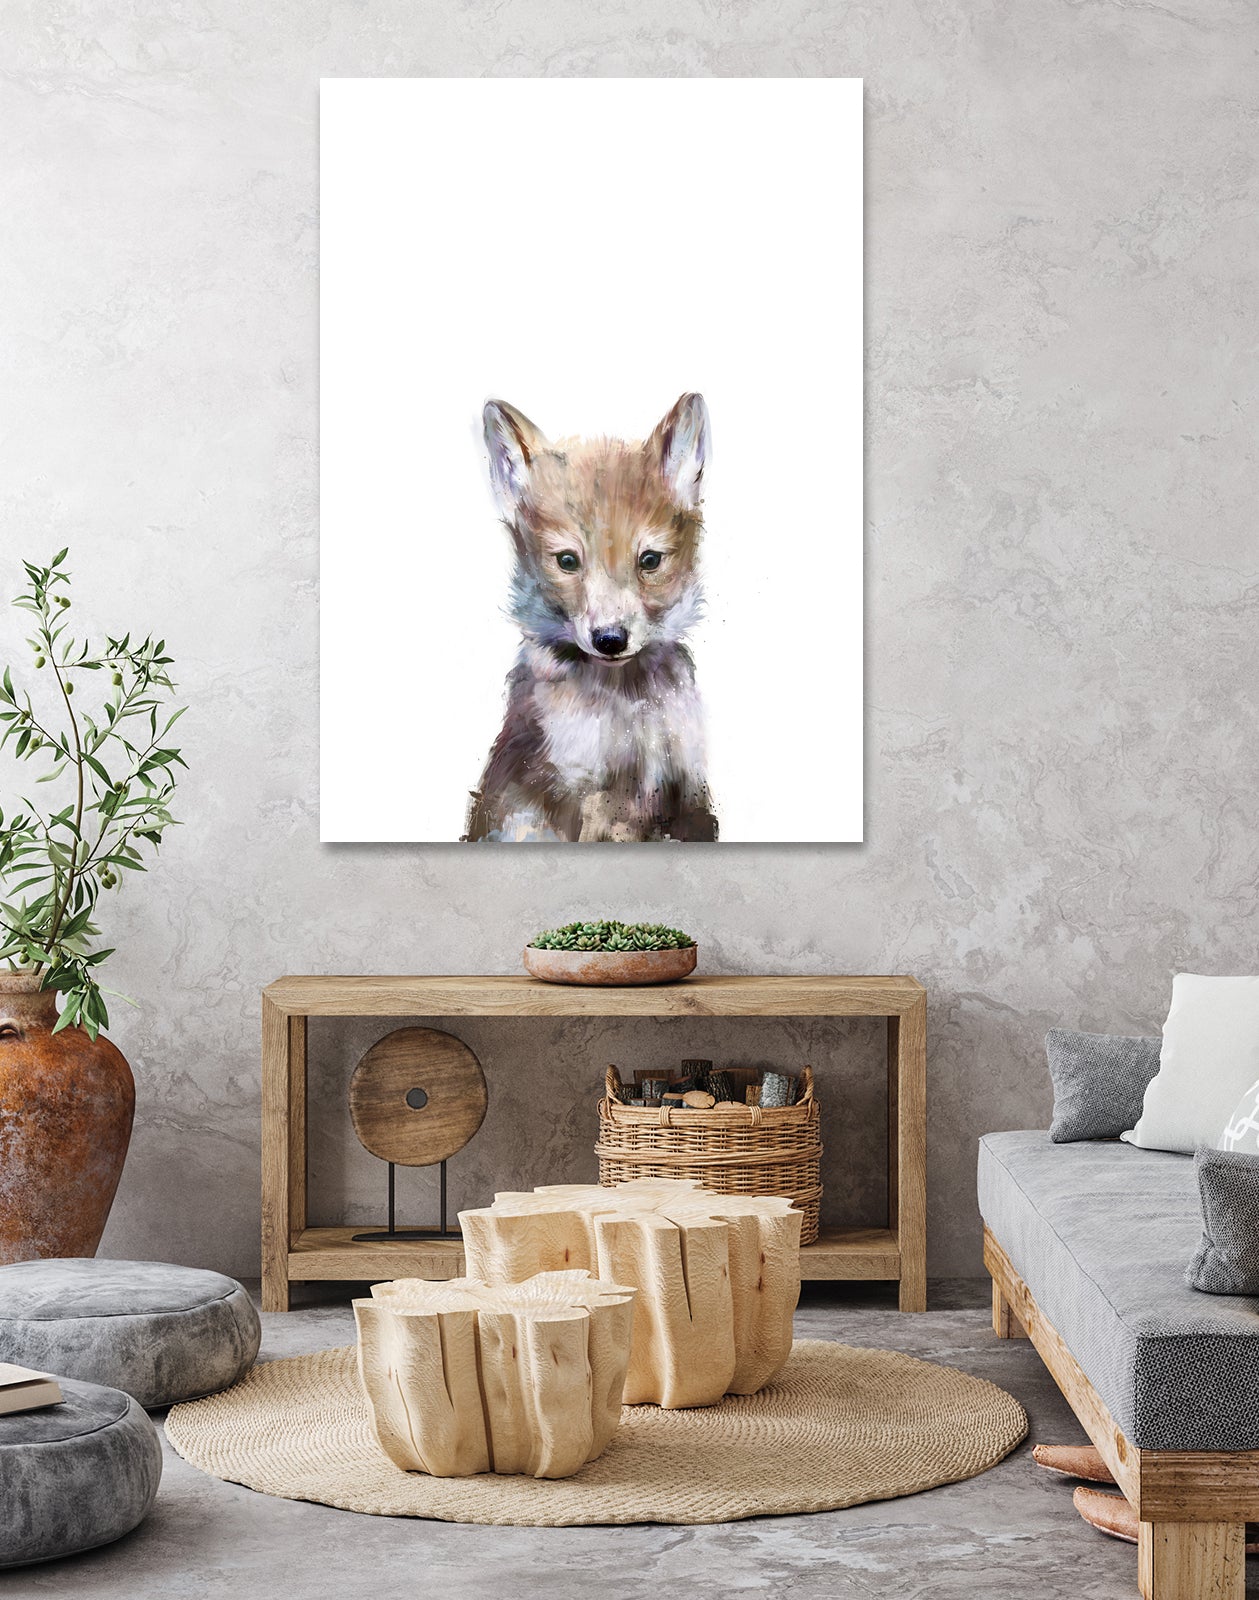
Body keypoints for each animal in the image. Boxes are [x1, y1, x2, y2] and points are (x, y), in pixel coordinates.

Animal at [463, 393, 719, 843]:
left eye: (649, 560)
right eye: (567, 561)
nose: (610, 640)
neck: (627, 707)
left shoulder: (686, 790)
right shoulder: (583, 796)